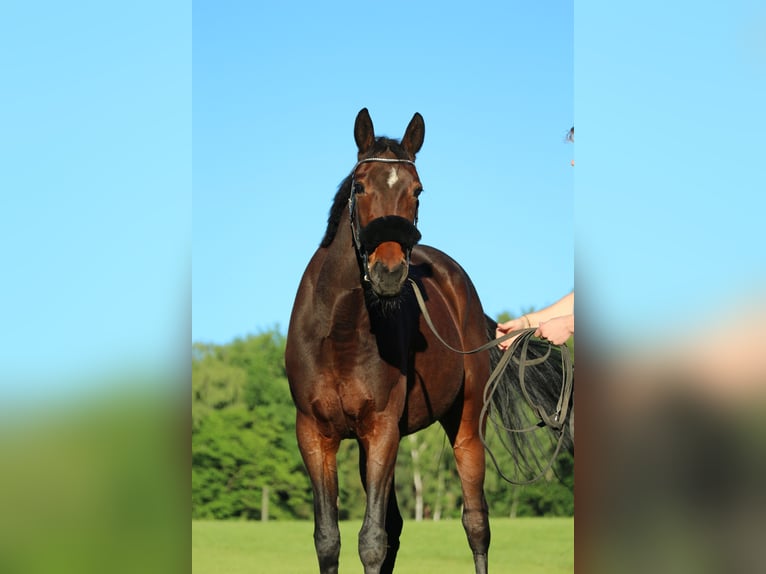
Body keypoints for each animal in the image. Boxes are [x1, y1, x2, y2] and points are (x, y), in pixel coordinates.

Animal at [285, 109, 570, 574]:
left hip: (465, 427)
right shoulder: (315, 433)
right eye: (359, 186)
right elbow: (329, 539)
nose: (388, 272)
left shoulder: (381, 429)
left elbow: (371, 541)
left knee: (476, 524)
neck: (339, 334)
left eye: (417, 191)